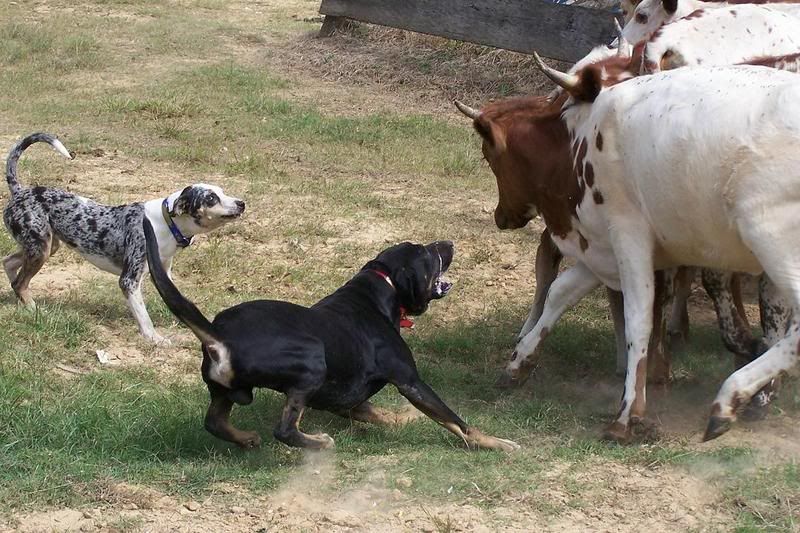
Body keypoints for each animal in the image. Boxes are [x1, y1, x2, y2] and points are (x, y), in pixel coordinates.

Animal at [529, 50, 800, 442]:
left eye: (564, 102)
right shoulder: (613, 248)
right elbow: (563, 290)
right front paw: (519, 360)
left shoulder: (628, 232)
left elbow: (639, 319)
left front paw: (627, 414)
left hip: (773, 242)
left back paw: (729, 399)